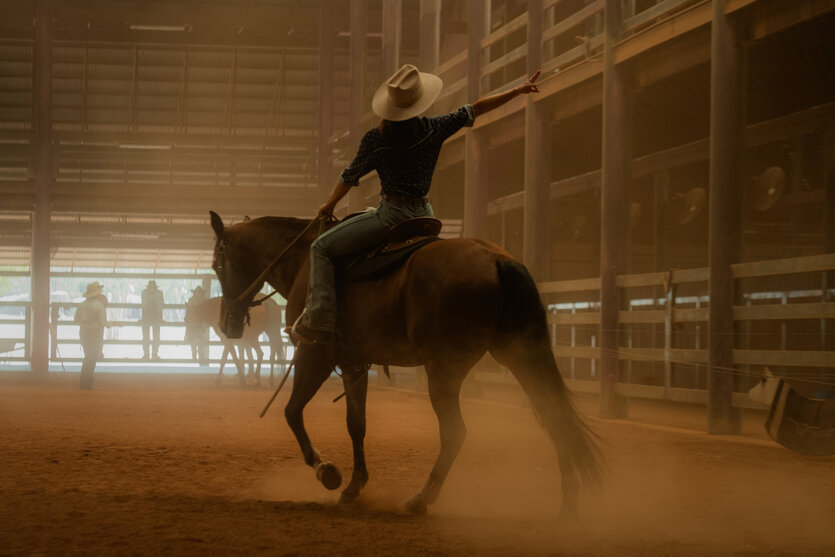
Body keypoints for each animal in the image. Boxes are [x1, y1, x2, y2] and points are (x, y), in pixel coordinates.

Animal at [207, 211, 600, 516]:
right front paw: (354, 486)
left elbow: (291, 411)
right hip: (520, 355)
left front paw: (326, 471)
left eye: (216, 264)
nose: (227, 323)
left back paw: (421, 499)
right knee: (553, 416)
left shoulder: (316, 353)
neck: (304, 260)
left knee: (455, 431)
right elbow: (356, 424)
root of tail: (495, 259)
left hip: (444, 368)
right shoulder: (354, 363)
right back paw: (568, 504)